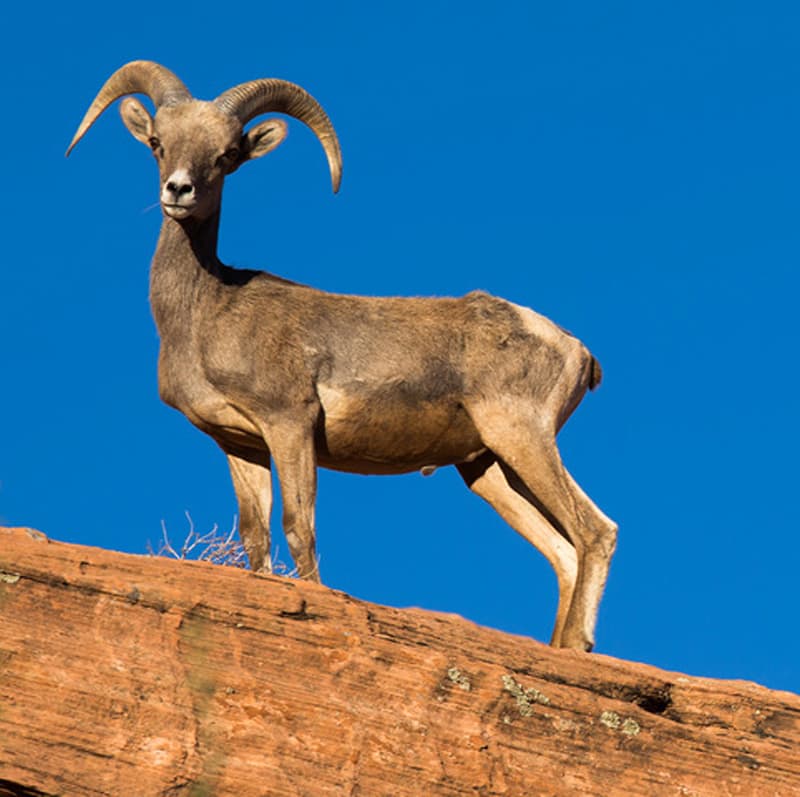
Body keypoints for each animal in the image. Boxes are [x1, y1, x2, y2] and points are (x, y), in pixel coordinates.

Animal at [69, 60, 620, 648]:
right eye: (157, 143)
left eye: (226, 154)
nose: (179, 190)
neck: (206, 312)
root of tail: (577, 350)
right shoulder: (240, 444)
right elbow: (255, 537)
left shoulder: (289, 424)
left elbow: (299, 527)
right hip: (489, 469)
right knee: (562, 551)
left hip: (521, 437)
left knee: (594, 532)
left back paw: (578, 646)